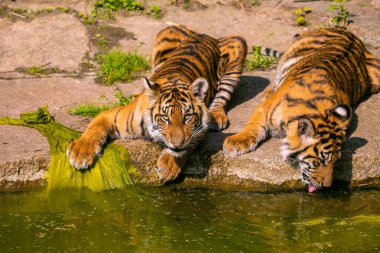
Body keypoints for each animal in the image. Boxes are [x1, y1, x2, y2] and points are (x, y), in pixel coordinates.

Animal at [67, 23, 248, 182]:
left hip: (238, 44)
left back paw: (215, 116)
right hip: (165, 34)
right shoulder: (112, 115)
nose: (177, 143)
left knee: (222, 94)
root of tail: (204, 34)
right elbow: (94, 129)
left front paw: (169, 166)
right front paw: (81, 153)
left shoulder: (198, 131)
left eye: (188, 117)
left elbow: (186, 147)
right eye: (165, 117)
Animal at [223, 27, 380, 193]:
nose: (327, 186)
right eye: (319, 162)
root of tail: (352, 35)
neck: (316, 108)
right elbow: (252, 127)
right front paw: (236, 143)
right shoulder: (264, 109)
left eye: (336, 161)